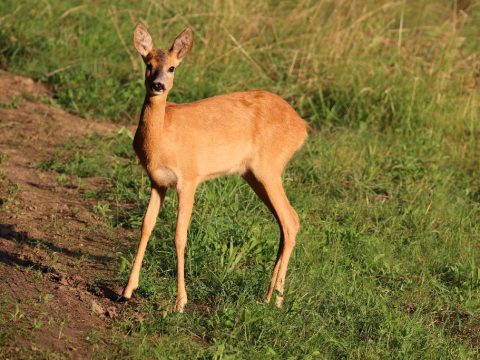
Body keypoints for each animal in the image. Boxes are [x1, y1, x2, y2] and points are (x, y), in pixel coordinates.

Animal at [122, 23, 310, 312]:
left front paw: (180, 302)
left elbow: (179, 234)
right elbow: (146, 225)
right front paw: (127, 289)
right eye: (148, 63)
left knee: (290, 220)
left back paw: (276, 300)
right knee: (287, 220)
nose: (158, 85)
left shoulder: (189, 178)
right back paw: (269, 296)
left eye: (173, 67)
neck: (163, 136)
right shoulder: (157, 181)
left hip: (269, 168)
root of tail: (302, 126)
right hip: (254, 174)